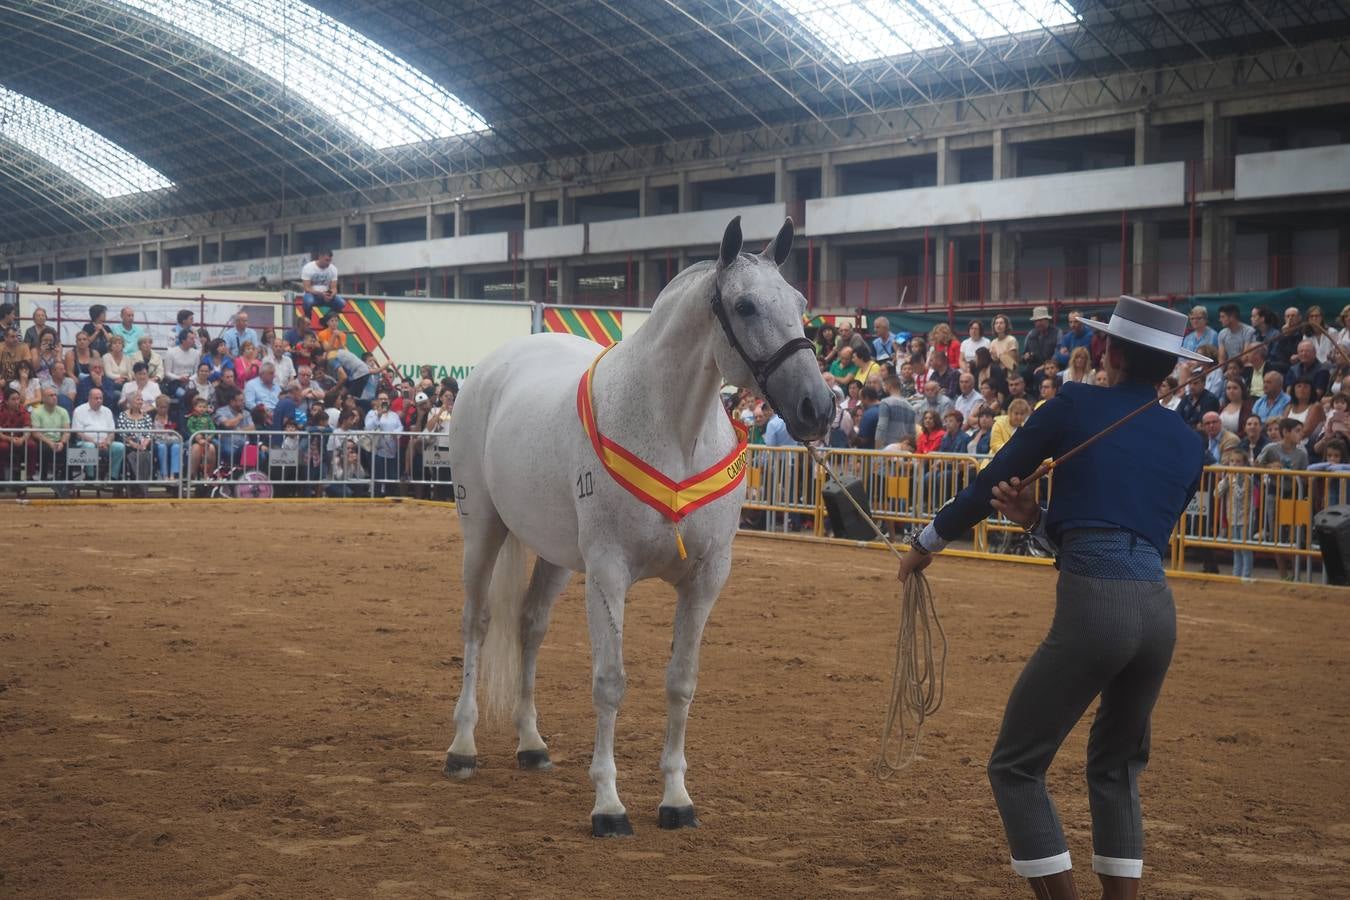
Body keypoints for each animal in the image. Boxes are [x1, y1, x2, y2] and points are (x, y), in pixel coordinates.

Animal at [442, 218, 831, 836]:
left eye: (800, 303)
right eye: (744, 306)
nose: (818, 407)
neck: (673, 432)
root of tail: (499, 363)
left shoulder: (706, 578)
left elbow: (681, 682)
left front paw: (676, 798)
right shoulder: (608, 573)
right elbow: (611, 682)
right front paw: (608, 804)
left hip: (555, 553)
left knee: (530, 626)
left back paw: (531, 744)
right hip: (481, 528)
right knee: (477, 624)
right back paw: (462, 748)